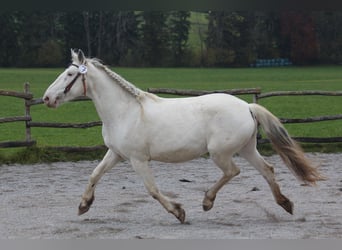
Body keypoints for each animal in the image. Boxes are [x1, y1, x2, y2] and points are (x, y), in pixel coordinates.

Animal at [42, 48, 324, 223]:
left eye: (70, 74)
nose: (46, 98)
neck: (125, 112)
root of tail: (247, 106)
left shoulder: (137, 159)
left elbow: (152, 189)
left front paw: (179, 212)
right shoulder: (116, 154)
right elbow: (94, 175)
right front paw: (83, 206)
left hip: (220, 153)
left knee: (233, 172)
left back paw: (207, 202)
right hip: (246, 148)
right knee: (267, 169)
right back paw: (285, 204)